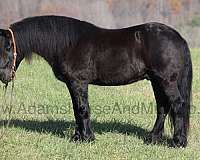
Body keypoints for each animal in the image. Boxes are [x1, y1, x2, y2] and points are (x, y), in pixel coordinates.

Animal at [0, 15, 192, 148]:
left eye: (8, 47)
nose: (4, 76)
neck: (67, 44)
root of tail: (177, 37)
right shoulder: (72, 84)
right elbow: (76, 109)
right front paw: (78, 137)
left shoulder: (78, 82)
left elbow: (82, 109)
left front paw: (87, 138)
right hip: (155, 81)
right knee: (163, 107)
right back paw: (152, 138)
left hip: (166, 81)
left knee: (177, 105)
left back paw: (178, 142)